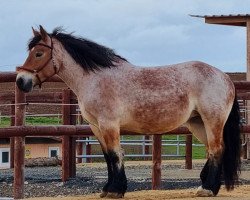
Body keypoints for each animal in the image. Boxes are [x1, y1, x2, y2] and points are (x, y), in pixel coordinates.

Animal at [15, 25, 240, 198]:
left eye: (38, 53)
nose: (21, 81)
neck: (95, 79)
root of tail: (224, 77)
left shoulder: (109, 125)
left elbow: (115, 155)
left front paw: (116, 190)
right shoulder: (96, 127)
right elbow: (108, 157)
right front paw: (108, 189)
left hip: (212, 121)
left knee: (217, 149)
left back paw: (208, 189)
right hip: (197, 123)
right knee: (214, 150)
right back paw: (206, 185)